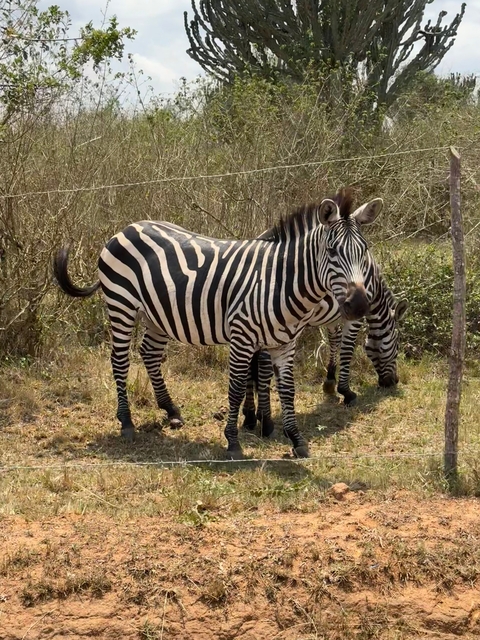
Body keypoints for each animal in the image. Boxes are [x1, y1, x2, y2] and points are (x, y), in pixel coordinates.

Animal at [53, 188, 382, 460]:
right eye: (332, 252)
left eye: (365, 250)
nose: (359, 305)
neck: (279, 282)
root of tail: (125, 228)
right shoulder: (242, 338)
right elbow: (236, 388)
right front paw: (233, 441)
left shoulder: (285, 343)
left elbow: (288, 391)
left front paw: (297, 441)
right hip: (121, 304)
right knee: (120, 361)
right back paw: (126, 422)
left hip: (156, 314)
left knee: (150, 354)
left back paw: (171, 410)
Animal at [242, 271, 408, 437]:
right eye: (397, 346)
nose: (394, 381)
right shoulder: (354, 318)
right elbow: (347, 349)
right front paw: (346, 392)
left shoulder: (332, 318)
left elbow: (335, 339)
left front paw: (330, 381)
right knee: (263, 364)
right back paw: (265, 421)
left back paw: (250, 417)